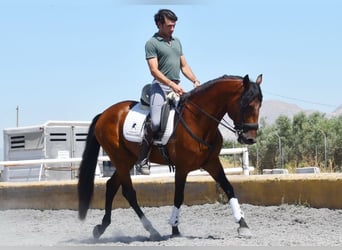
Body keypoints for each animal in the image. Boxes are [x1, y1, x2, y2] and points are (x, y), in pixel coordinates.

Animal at [78, 73, 262, 240]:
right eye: (245, 104)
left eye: (259, 105)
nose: (250, 139)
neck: (198, 120)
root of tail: (104, 114)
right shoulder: (182, 168)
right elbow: (178, 196)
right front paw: (174, 227)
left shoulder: (211, 162)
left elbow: (229, 188)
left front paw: (243, 225)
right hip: (120, 159)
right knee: (129, 192)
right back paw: (152, 230)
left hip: (126, 159)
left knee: (111, 186)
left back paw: (101, 228)